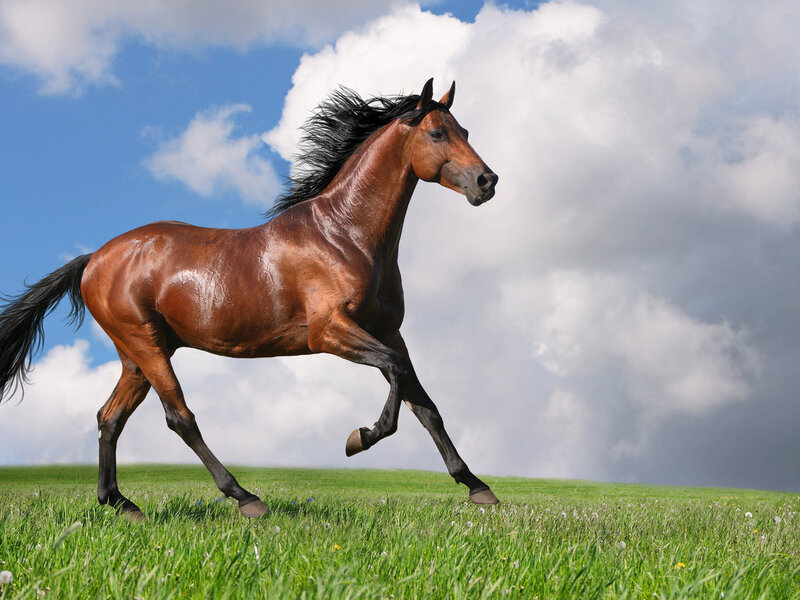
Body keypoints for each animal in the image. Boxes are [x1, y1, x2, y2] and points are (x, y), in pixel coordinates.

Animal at [0, 78, 499, 520]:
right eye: (437, 133)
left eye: (465, 131)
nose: (487, 181)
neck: (344, 234)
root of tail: (94, 259)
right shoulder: (330, 332)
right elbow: (396, 379)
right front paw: (359, 438)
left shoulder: (389, 331)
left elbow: (426, 405)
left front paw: (478, 487)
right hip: (144, 345)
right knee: (179, 416)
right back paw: (245, 498)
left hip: (138, 355)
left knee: (110, 417)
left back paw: (121, 504)